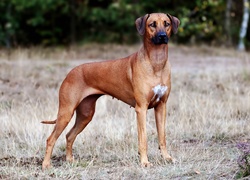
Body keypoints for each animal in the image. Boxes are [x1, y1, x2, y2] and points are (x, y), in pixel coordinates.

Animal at [42, 13, 180, 170]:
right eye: (152, 24)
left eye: (167, 23)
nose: (162, 36)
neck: (156, 62)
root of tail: (70, 73)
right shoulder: (141, 109)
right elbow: (143, 138)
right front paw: (144, 162)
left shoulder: (161, 106)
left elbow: (162, 136)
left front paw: (167, 158)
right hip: (66, 112)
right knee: (50, 139)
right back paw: (46, 164)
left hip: (86, 114)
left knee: (69, 135)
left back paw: (70, 160)